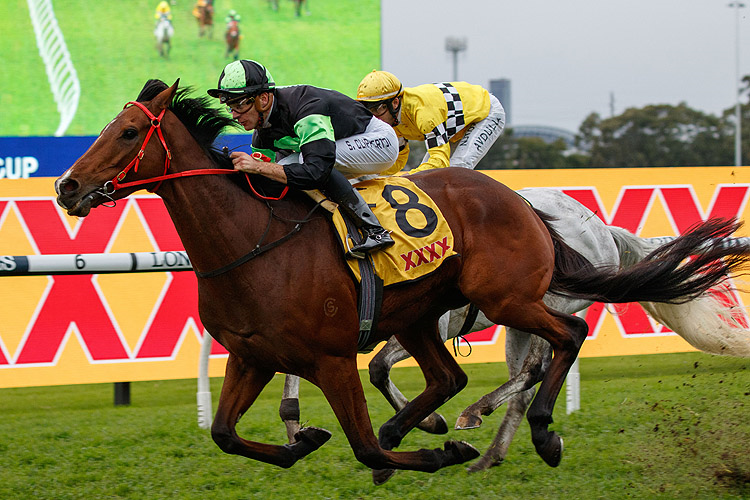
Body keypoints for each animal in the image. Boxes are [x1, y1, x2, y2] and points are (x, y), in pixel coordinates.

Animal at [55, 81, 750, 476]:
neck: (253, 243)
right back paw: (472, 440)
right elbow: (225, 434)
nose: (67, 186)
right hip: (428, 315)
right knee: (458, 375)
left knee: (560, 342)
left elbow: (363, 444)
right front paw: (301, 439)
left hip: (507, 299)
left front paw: (417, 448)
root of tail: (529, 205)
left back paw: (525, 433)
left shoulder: (332, 356)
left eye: (127, 132)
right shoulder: (252, 355)